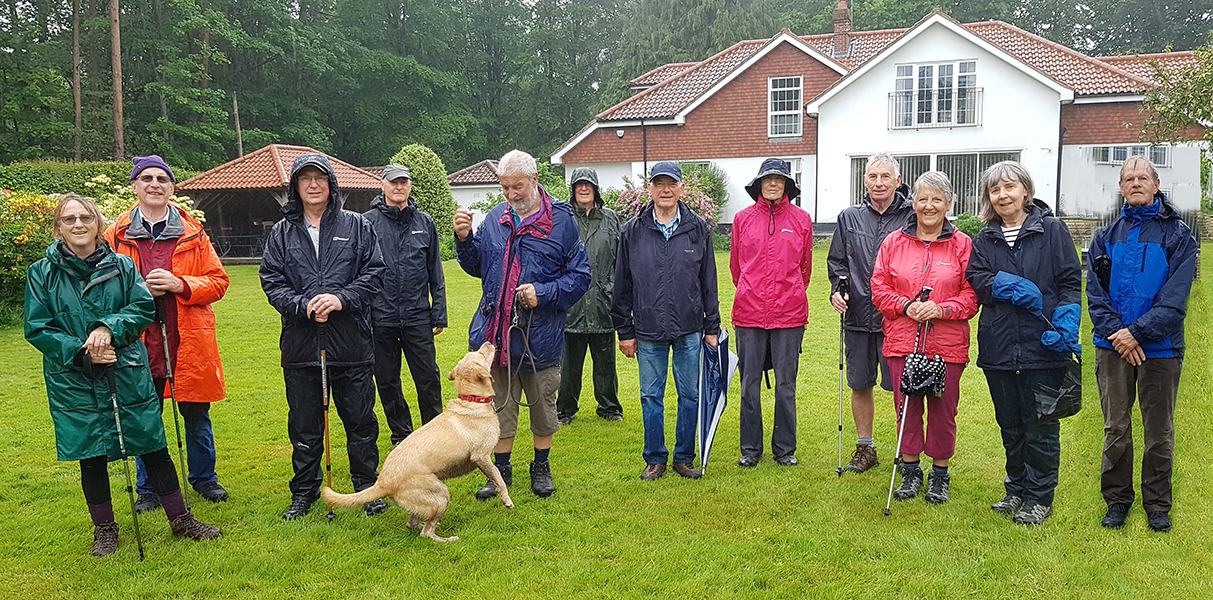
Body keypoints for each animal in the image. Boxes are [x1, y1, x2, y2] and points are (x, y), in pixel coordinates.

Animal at [317, 341, 511, 545]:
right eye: (480, 354)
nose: (488, 342)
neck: (471, 400)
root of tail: (383, 482)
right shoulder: (481, 457)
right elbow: (498, 477)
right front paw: (507, 500)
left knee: (413, 523)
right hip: (441, 495)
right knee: (426, 532)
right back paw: (447, 539)